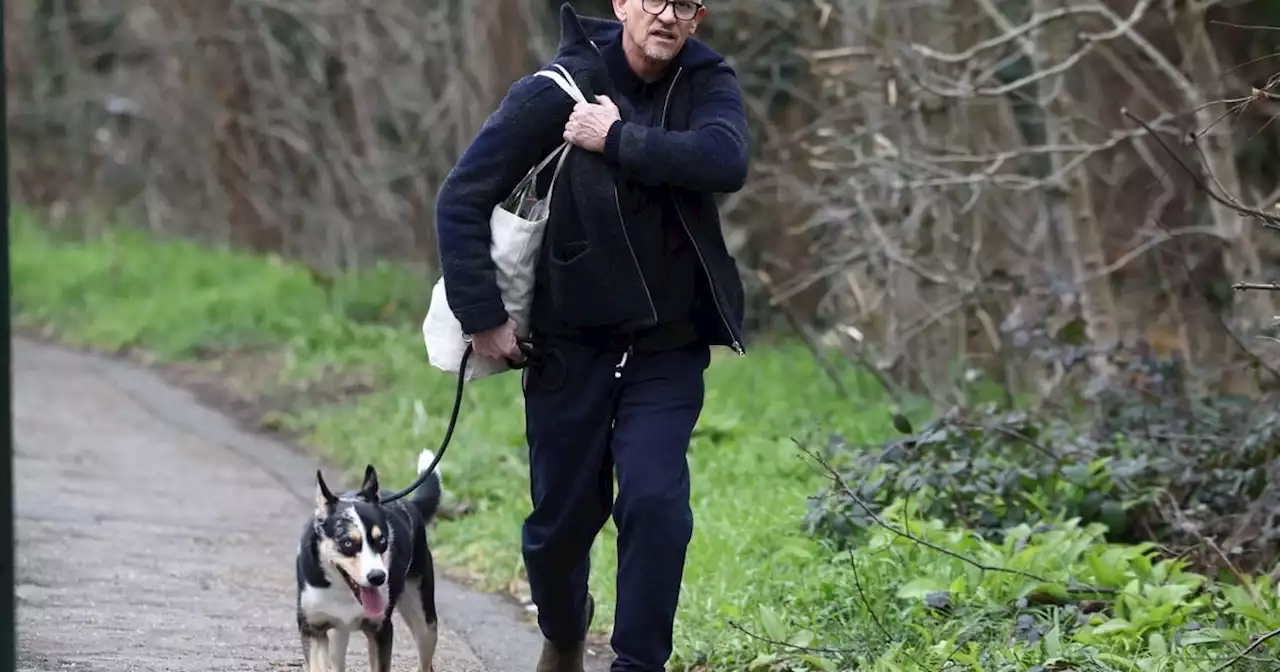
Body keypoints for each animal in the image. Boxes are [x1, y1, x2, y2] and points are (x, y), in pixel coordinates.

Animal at [293, 448, 442, 665]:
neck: (342, 592)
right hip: (338, 634)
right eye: (348, 543)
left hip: (425, 622)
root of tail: (409, 502)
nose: (378, 577)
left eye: (382, 540)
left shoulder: (381, 630)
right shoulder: (314, 630)